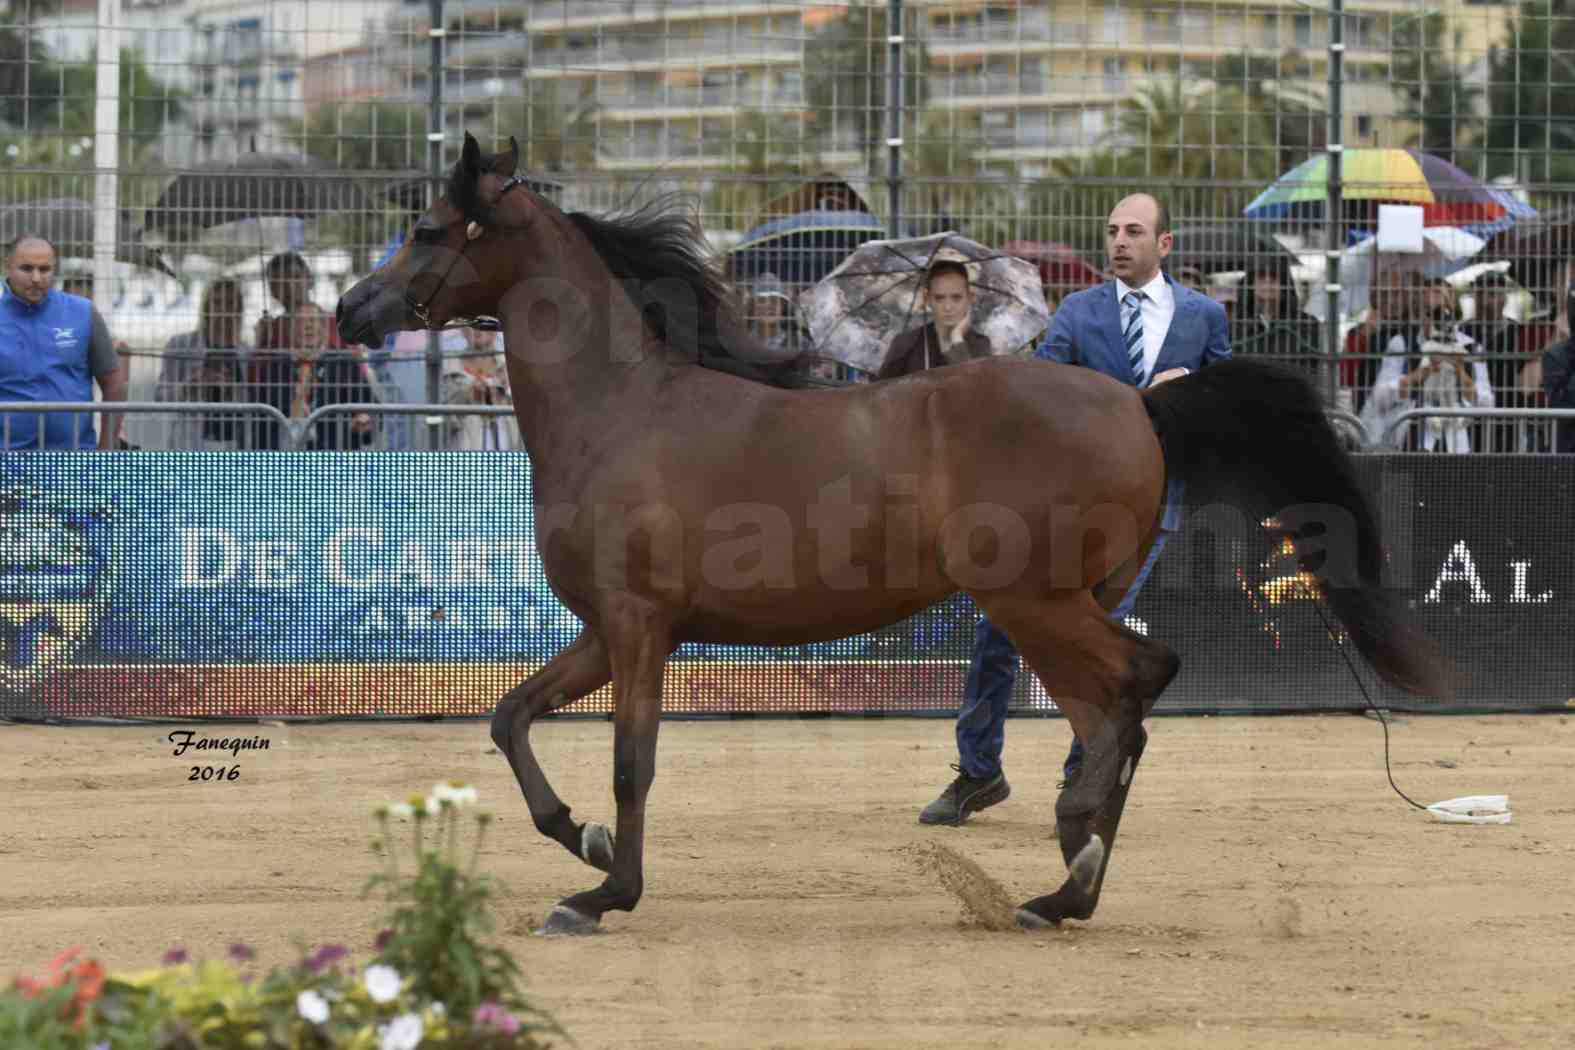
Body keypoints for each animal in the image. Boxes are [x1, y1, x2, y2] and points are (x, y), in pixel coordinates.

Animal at [338, 137, 1442, 938]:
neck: (619, 410)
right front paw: (586, 844)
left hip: (1031, 600)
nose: (353, 308)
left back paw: (1071, 860)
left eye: (428, 227)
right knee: (1105, 712)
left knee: (1137, 684)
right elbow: (511, 718)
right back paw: (1060, 884)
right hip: (1051, 607)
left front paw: (604, 891)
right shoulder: (608, 630)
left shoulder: (639, 626)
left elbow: (629, 762)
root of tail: (1138, 401)